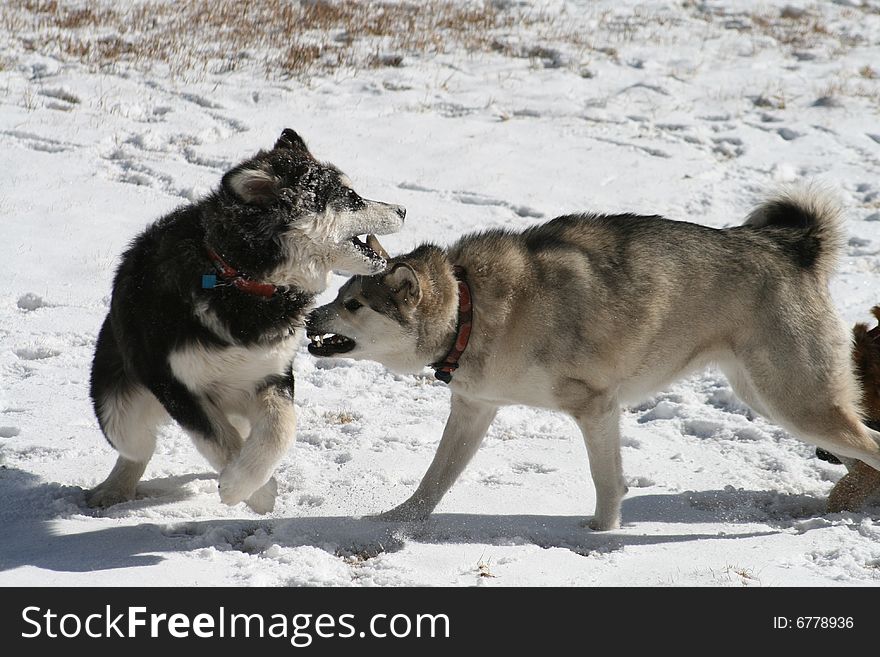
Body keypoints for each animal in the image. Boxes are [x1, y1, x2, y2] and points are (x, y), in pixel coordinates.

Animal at [89, 128, 406, 512]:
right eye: (350, 197)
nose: (403, 209)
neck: (240, 279)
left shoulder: (271, 373)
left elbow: (280, 430)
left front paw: (250, 484)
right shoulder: (175, 383)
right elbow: (217, 438)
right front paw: (249, 490)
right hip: (119, 405)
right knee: (137, 447)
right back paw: (114, 489)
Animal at [308, 188, 880, 528]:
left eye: (353, 304)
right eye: (339, 293)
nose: (310, 319)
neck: (469, 308)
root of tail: (793, 247)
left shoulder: (596, 406)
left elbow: (607, 481)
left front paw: (598, 539)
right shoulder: (475, 407)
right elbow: (435, 478)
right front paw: (396, 521)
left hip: (796, 401)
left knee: (870, 445)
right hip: (772, 399)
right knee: (860, 456)